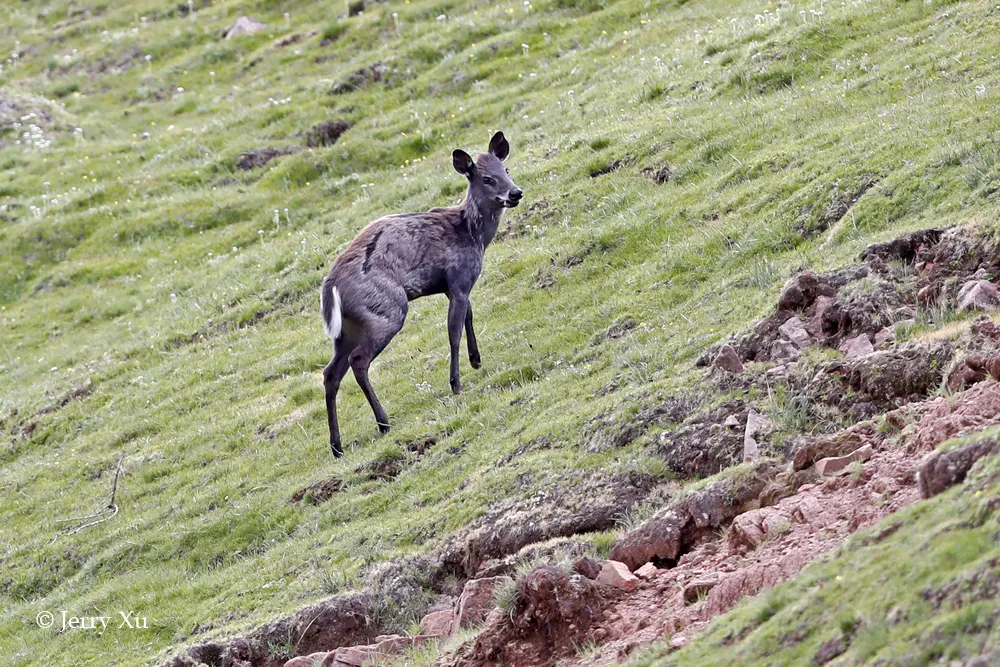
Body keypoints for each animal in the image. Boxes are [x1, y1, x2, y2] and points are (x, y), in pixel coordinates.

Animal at [320, 130, 524, 456]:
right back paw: (383, 423)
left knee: (330, 373)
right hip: (386, 312)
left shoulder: (454, 287)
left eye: (506, 169)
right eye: (486, 179)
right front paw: (456, 384)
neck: (473, 235)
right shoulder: (458, 280)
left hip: (347, 328)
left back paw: (337, 446)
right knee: (358, 361)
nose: (515, 193)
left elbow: (469, 315)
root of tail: (331, 287)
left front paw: (476, 360)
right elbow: (453, 331)